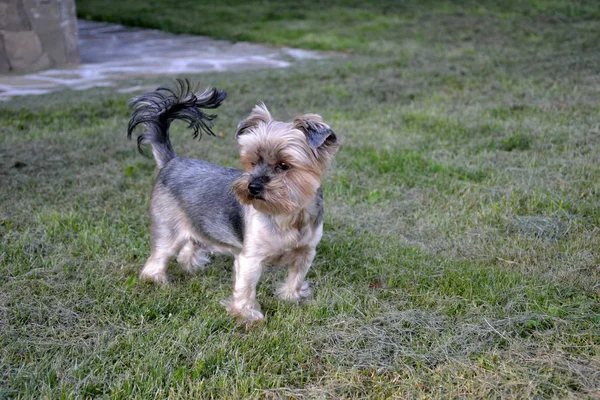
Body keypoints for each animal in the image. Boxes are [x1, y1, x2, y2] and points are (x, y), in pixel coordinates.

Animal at [127, 80, 340, 322]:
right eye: (252, 162)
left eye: (284, 165)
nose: (253, 187)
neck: (288, 213)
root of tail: (172, 161)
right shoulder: (250, 258)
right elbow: (246, 287)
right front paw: (246, 316)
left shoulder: (306, 251)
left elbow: (296, 276)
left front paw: (290, 298)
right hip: (168, 228)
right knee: (158, 257)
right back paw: (157, 281)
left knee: (190, 243)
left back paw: (192, 265)